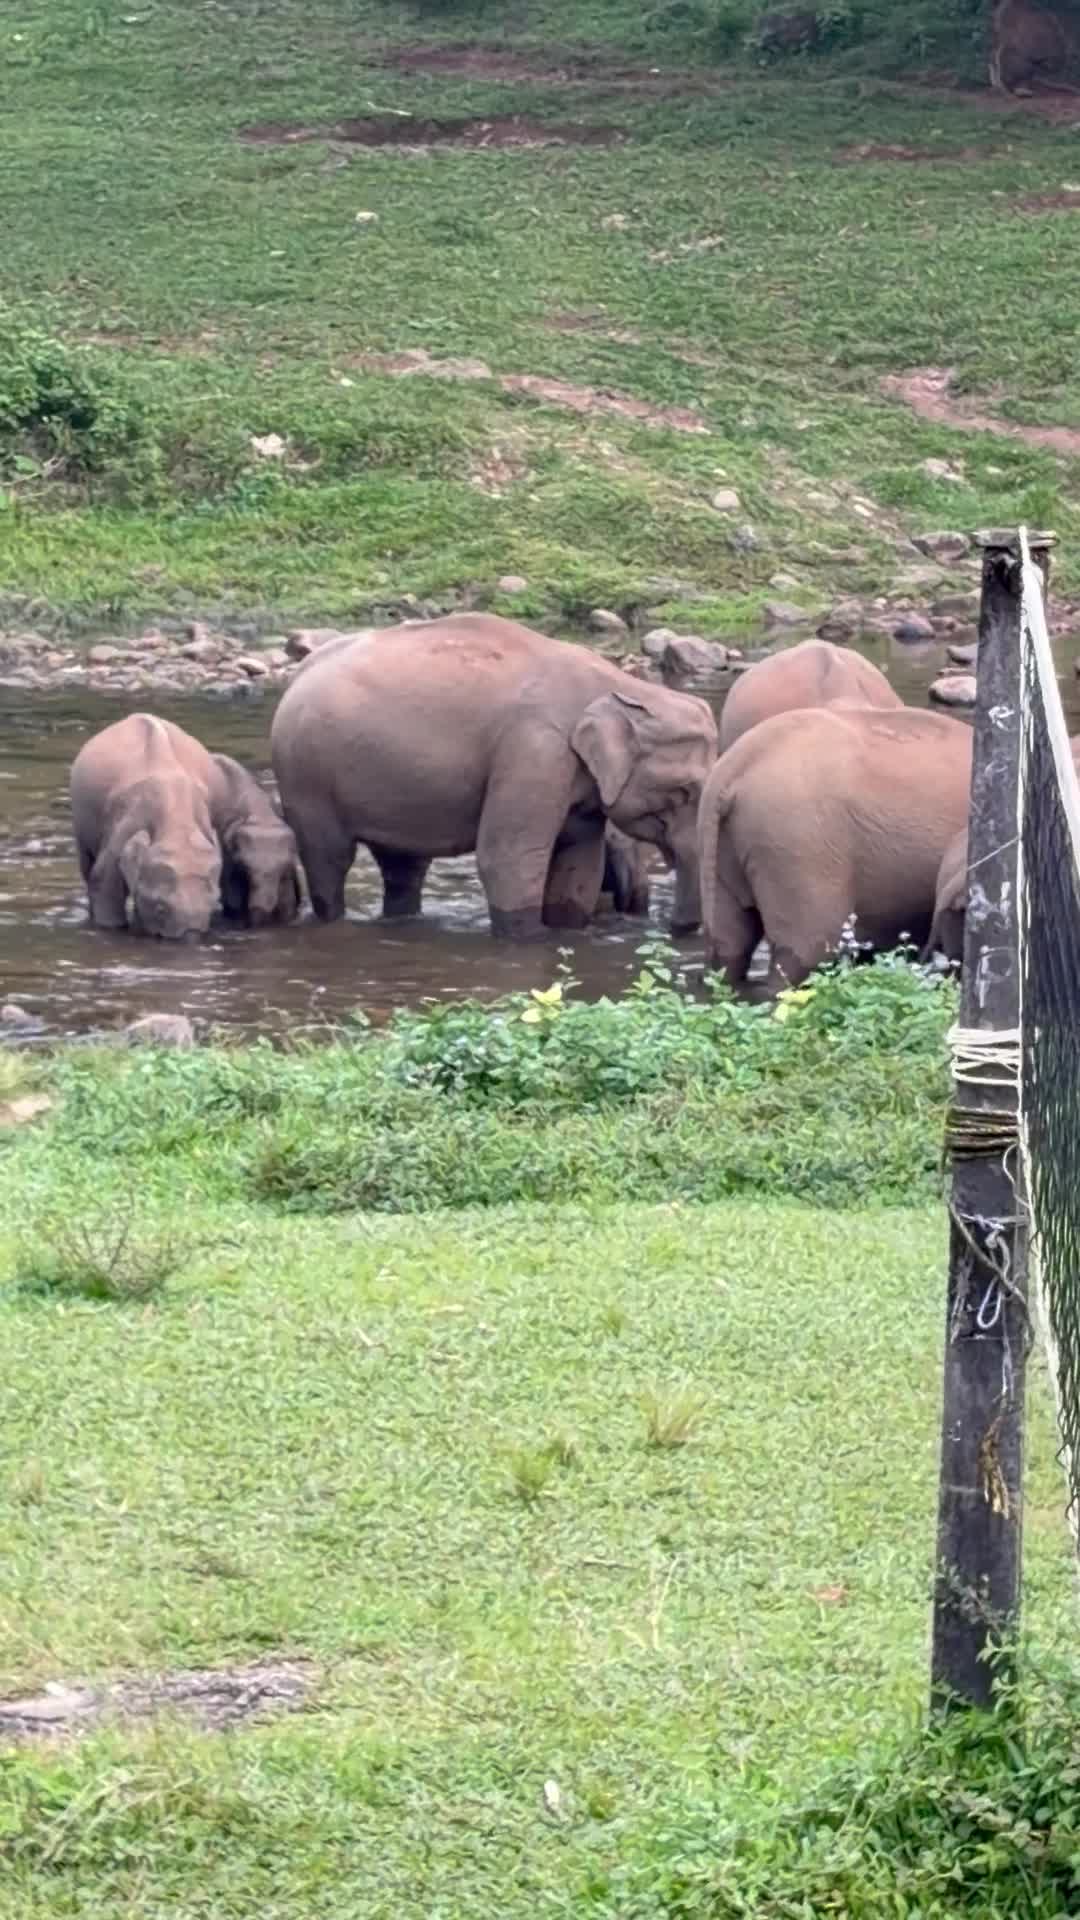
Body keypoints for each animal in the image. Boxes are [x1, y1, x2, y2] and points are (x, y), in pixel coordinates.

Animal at [270, 613, 718, 939]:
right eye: (683, 792)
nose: (675, 931)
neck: (618, 686)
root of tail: (301, 671)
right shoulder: (533, 750)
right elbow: (507, 858)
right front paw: (527, 939)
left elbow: (579, 863)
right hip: (305, 775)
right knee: (330, 858)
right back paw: (334, 919)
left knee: (403, 867)